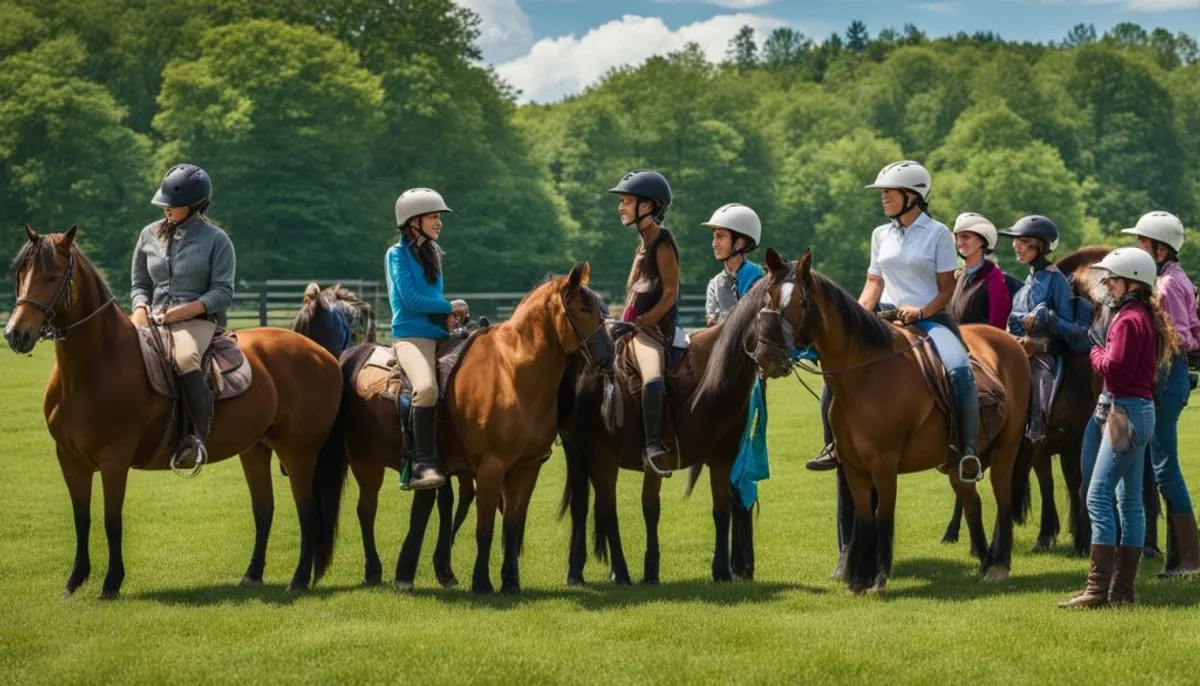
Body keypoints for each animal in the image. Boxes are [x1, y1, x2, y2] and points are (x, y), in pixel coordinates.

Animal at [4, 227, 350, 597]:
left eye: (53, 276)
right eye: (19, 274)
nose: (16, 334)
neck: (95, 368)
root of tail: (323, 355)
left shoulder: (114, 459)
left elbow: (112, 520)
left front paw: (111, 583)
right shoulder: (69, 459)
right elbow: (81, 519)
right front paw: (74, 582)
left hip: (298, 453)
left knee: (308, 512)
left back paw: (298, 580)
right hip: (256, 449)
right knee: (263, 509)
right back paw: (252, 575)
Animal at [343, 265, 614, 592]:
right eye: (585, 309)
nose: (608, 357)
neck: (511, 373)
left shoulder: (527, 467)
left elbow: (511, 525)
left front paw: (510, 581)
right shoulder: (491, 467)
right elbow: (484, 528)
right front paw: (482, 581)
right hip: (365, 462)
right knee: (366, 510)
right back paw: (374, 569)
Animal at [748, 249, 1032, 592]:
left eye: (797, 301)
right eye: (768, 295)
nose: (766, 356)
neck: (866, 374)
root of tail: (1011, 343)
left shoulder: (884, 464)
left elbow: (883, 514)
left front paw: (879, 578)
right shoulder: (854, 467)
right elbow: (864, 516)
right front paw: (858, 580)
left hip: (1006, 449)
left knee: (1002, 501)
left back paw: (998, 565)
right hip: (956, 463)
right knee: (973, 503)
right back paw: (983, 559)